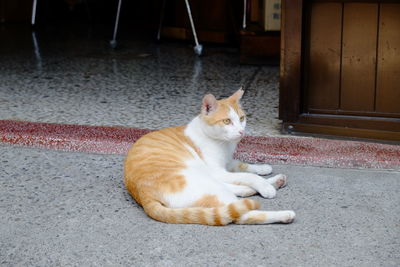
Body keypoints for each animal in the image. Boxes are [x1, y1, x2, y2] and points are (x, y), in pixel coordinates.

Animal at [123, 88, 296, 226]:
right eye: (227, 121)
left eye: (241, 119)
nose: (241, 131)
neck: (223, 144)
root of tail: (144, 196)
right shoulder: (218, 171)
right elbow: (248, 176)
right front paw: (263, 186)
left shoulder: (227, 162)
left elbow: (243, 166)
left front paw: (262, 168)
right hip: (205, 181)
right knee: (240, 214)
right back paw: (283, 213)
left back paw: (272, 183)